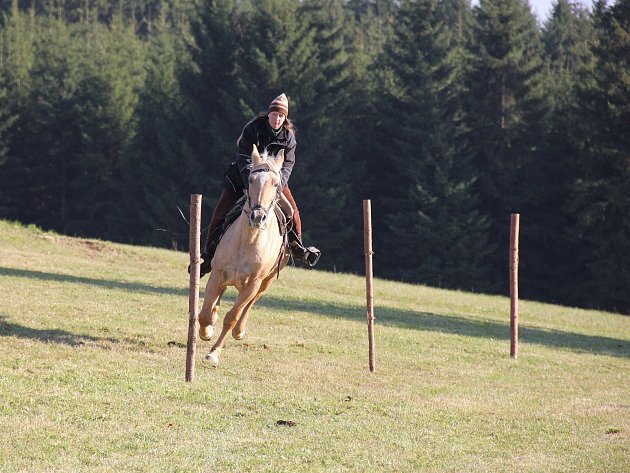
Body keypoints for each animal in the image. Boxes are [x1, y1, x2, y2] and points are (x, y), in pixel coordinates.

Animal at [199, 146, 292, 364]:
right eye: (250, 179)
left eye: (276, 184)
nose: (258, 217)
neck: (248, 241)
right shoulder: (217, 275)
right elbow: (205, 314)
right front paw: (206, 331)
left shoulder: (252, 285)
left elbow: (232, 317)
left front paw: (214, 352)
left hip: (265, 283)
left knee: (251, 303)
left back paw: (239, 331)